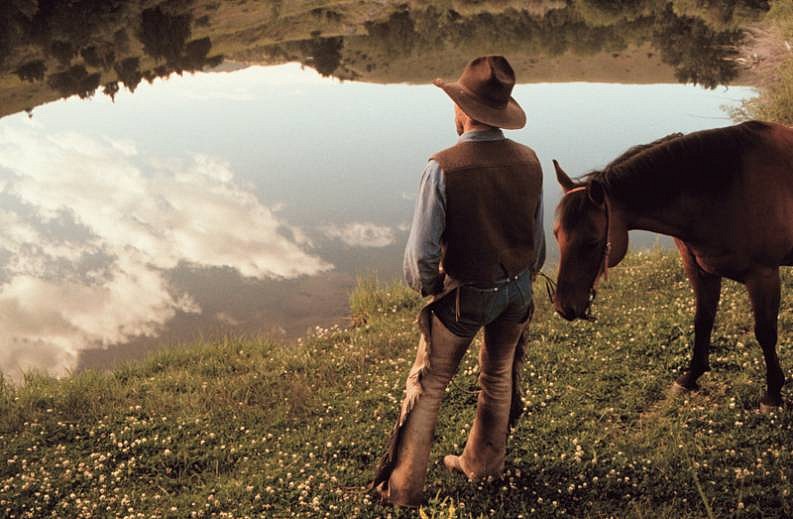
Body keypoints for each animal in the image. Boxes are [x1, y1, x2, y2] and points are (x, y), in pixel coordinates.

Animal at [552, 121, 792, 410]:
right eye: (556, 235)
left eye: (592, 242)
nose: (564, 306)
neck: (731, 190)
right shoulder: (701, 272)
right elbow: (703, 321)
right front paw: (691, 377)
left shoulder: (763, 276)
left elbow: (765, 333)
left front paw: (773, 394)